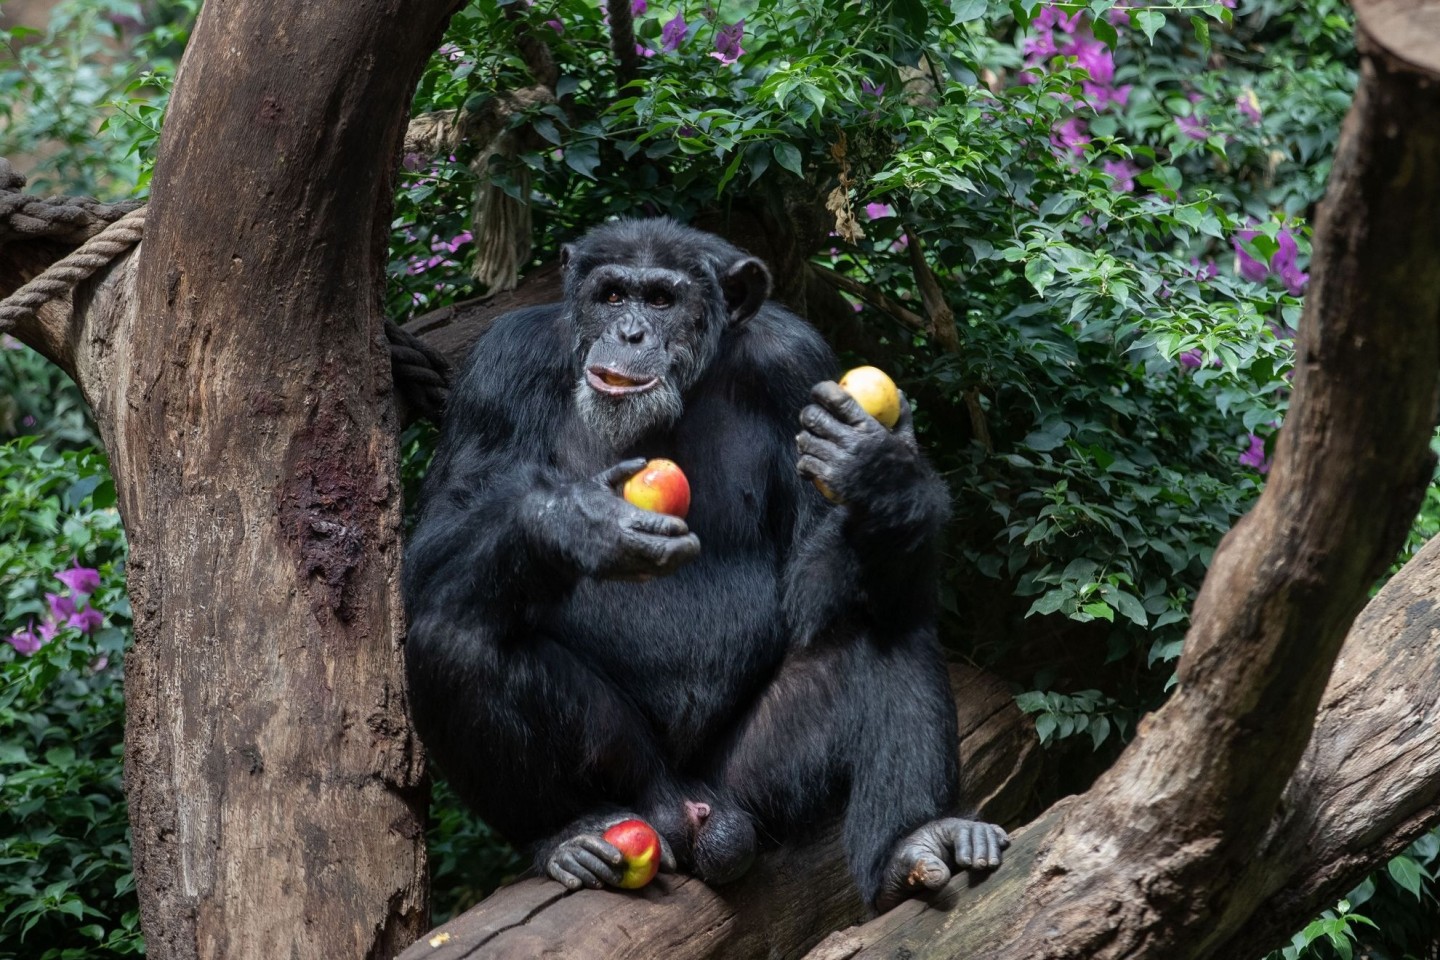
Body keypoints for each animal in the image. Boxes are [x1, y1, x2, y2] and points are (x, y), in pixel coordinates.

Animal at [400, 215, 1008, 909]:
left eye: (663, 300)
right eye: (612, 295)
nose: (630, 333)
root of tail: (693, 812)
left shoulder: (797, 364)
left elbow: (809, 582)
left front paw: (881, 470)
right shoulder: (499, 371)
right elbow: (434, 547)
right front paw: (577, 519)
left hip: (753, 783)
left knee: (886, 621)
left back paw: (916, 839)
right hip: (637, 780)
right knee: (454, 639)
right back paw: (571, 833)